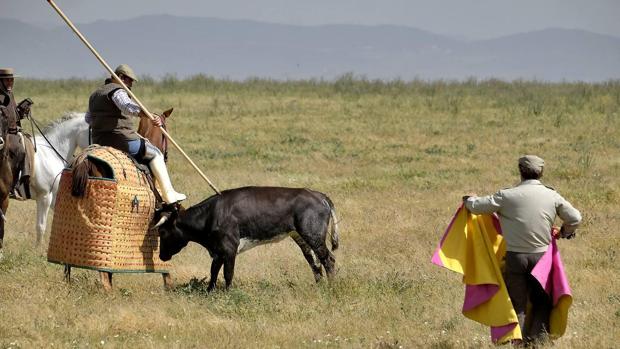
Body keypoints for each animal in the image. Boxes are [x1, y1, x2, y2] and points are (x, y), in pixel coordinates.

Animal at [154, 186, 340, 290]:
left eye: (162, 232)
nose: (162, 256)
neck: (211, 215)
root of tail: (320, 195)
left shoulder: (229, 249)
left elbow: (228, 273)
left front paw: (228, 293)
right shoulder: (218, 252)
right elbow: (213, 272)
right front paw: (209, 292)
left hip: (313, 235)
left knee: (328, 259)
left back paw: (331, 288)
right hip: (301, 237)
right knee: (314, 262)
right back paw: (319, 287)